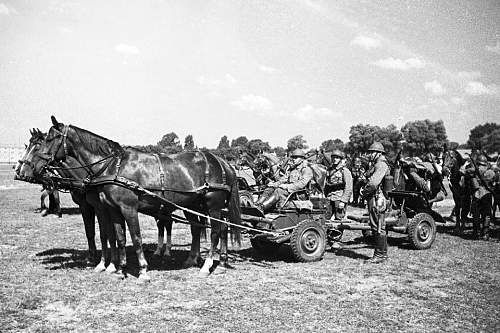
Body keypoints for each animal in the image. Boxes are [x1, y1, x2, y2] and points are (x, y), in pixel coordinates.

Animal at [14, 128, 118, 272]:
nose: (21, 171)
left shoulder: (94, 206)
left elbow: (101, 232)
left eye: (37, 147)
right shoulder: (85, 206)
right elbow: (90, 231)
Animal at [33, 116, 240, 280]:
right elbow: (119, 237)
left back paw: (208, 266)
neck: (113, 167)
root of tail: (222, 162)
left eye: (49, 139)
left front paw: (143, 271)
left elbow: (136, 237)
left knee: (216, 232)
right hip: (195, 205)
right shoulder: (113, 209)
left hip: (214, 206)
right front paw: (119, 269)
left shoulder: (128, 208)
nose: (36, 168)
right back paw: (198, 261)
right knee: (200, 229)